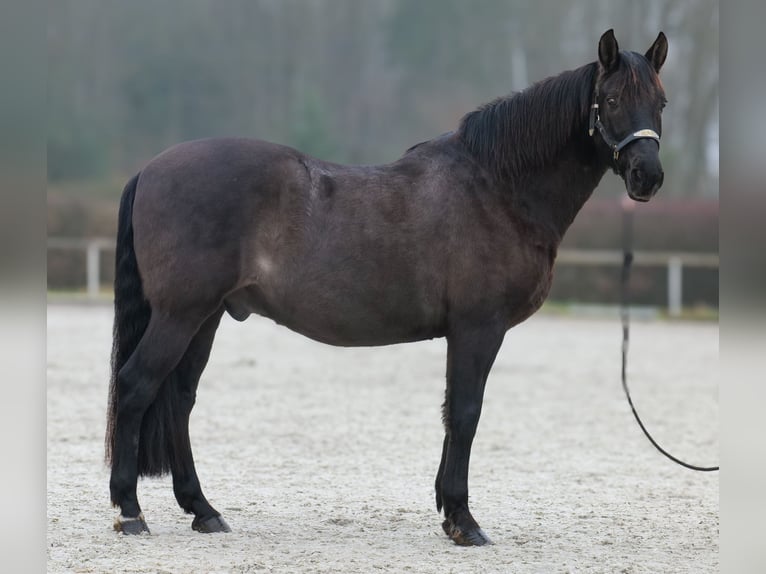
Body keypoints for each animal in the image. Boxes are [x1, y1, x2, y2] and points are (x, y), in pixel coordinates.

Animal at [106, 29, 668, 545]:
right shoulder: (478, 329)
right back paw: (131, 511)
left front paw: (448, 511)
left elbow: (451, 413)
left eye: (660, 102)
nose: (648, 177)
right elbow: (466, 412)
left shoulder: (464, 333)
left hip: (206, 317)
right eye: (612, 100)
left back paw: (203, 510)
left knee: (179, 399)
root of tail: (150, 169)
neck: (496, 188)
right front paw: (464, 521)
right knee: (135, 386)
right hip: (181, 314)